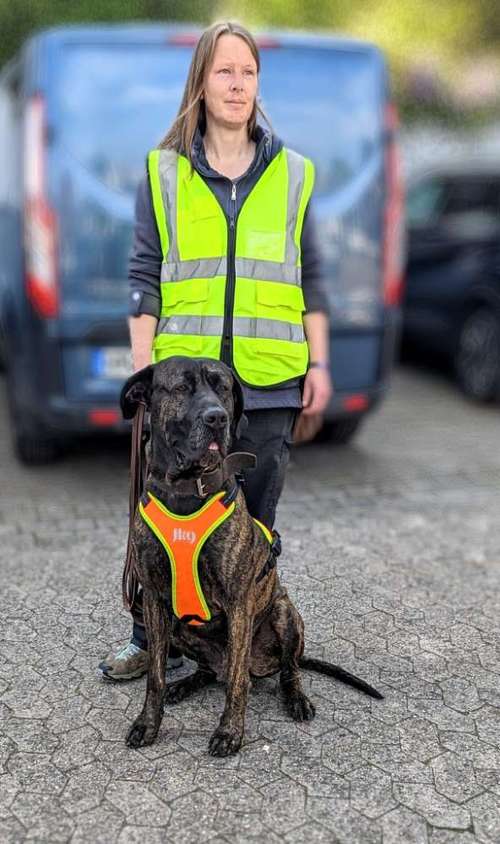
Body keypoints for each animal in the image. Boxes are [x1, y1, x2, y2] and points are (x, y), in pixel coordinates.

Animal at [121, 356, 382, 760]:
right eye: (181, 388)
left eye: (223, 388)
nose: (216, 417)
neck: (186, 491)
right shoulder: (152, 598)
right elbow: (156, 676)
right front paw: (148, 723)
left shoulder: (238, 604)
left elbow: (237, 684)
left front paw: (230, 732)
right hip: (179, 626)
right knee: (212, 671)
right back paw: (186, 684)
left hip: (285, 614)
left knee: (283, 670)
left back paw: (295, 698)